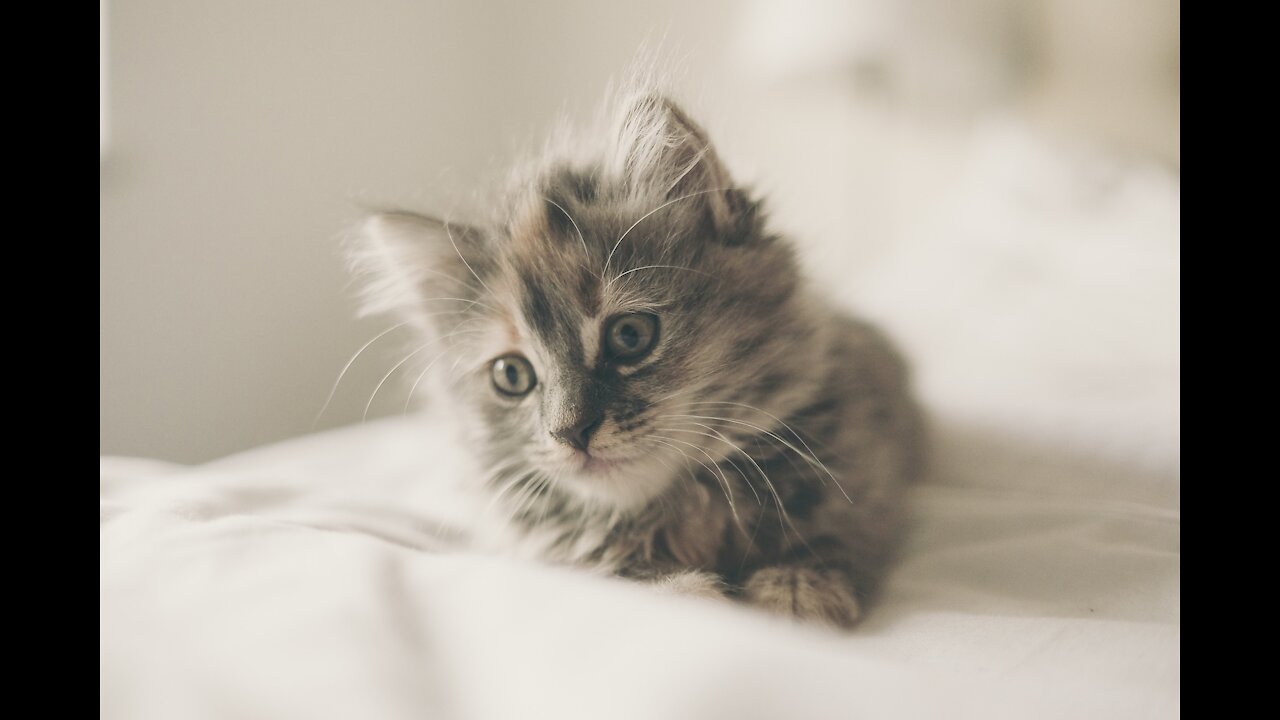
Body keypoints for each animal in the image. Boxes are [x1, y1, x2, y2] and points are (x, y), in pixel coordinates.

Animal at [350, 90, 926, 627]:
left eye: (630, 336)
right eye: (511, 375)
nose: (571, 433)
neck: (687, 509)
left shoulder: (867, 470)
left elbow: (836, 535)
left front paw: (796, 591)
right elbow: (638, 581)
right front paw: (693, 593)